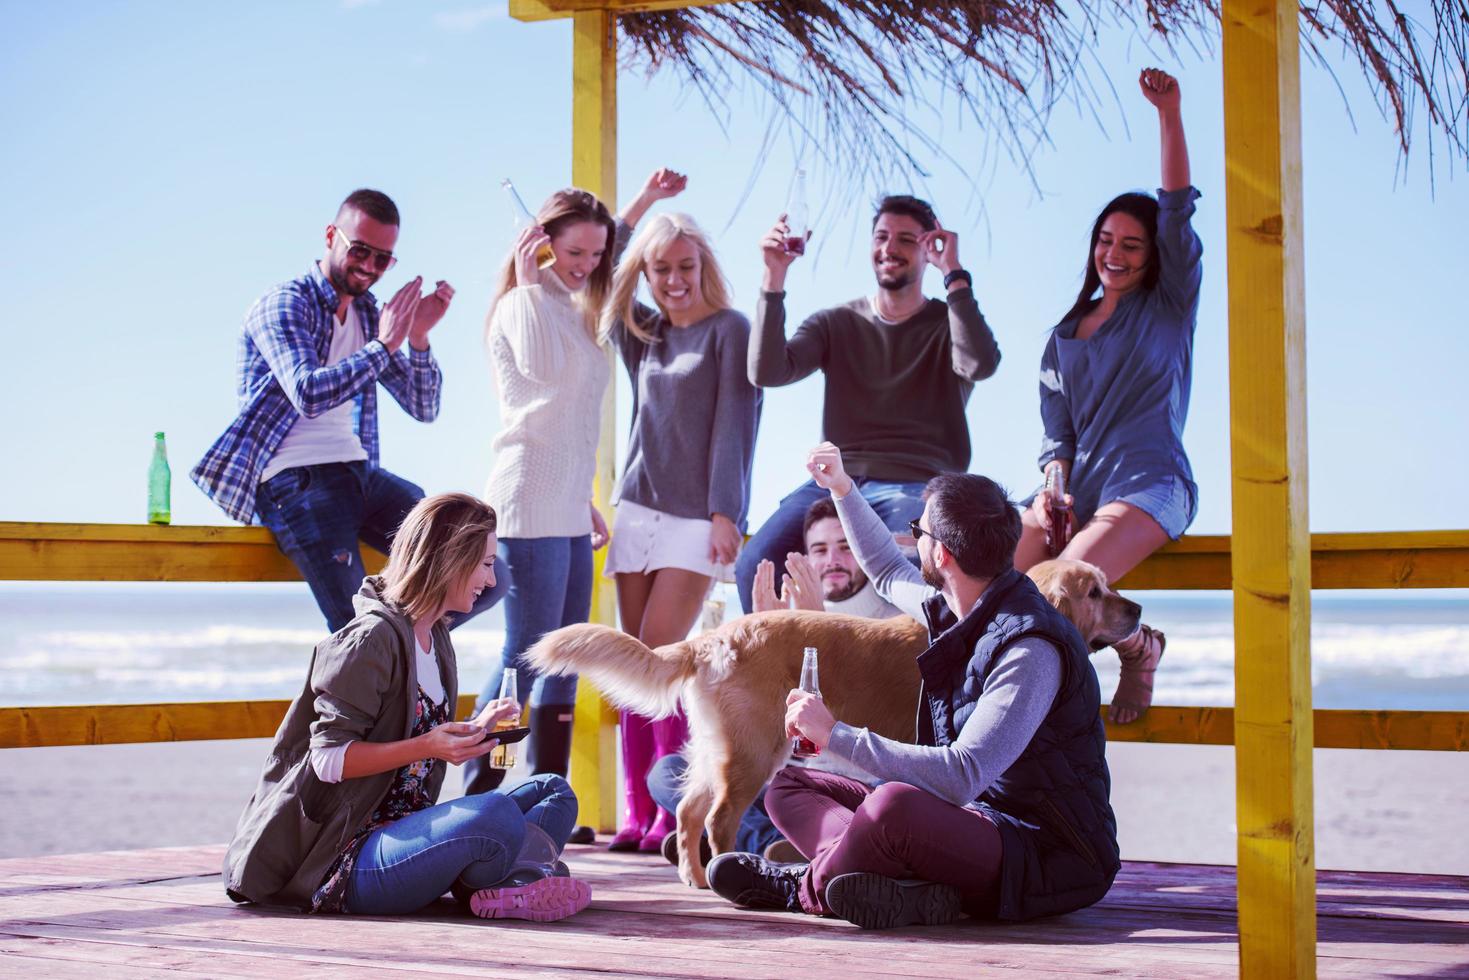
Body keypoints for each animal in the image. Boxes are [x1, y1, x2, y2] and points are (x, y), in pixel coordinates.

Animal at [522, 558, 1139, 887]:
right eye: (1095, 591)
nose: (1136, 609)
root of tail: (715, 635)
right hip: (757, 752)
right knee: (718, 818)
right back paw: (723, 871)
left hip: (723, 748)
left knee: (690, 811)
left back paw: (695, 878)